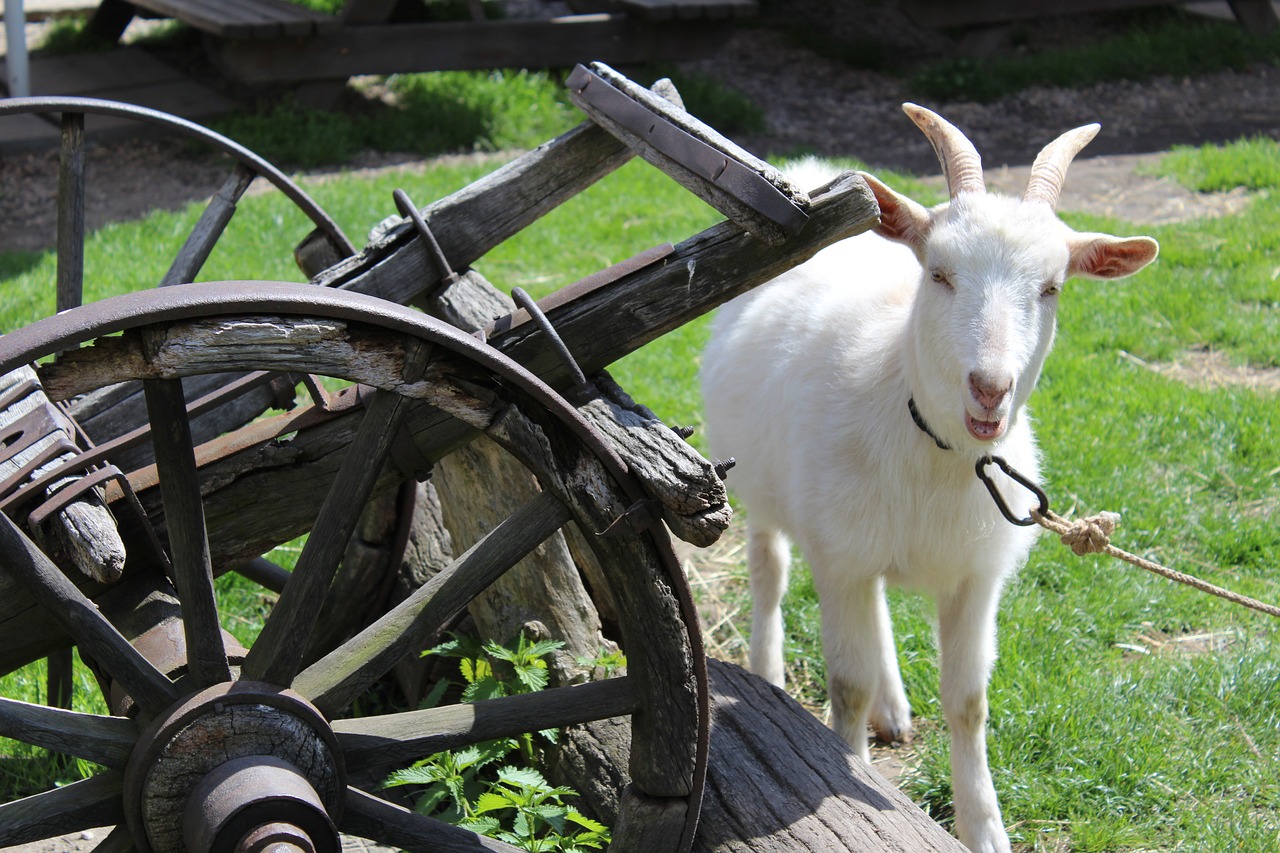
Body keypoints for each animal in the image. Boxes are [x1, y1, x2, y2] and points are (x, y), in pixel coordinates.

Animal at [701, 106, 1162, 850]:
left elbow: (968, 701)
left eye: (1052, 287)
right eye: (941, 272)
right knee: (770, 567)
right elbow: (846, 683)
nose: (989, 388)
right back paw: (768, 670)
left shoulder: (975, 577)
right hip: (759, 484)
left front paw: (984, 825)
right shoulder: (841, 559)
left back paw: (893, 705)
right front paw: (849, 770)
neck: (931, 443)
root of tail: (806, 170)